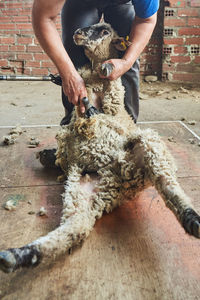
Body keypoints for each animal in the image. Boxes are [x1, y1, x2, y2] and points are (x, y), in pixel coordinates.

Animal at [0, 22, 200, 274]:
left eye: (105, 31)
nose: (78, 32)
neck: (94, 81)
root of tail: (123, 178)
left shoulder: (114, 102)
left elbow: (108, 93)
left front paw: (107, 70)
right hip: (86, 189)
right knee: (76, 227)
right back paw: (17, 256)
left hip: (149, 147)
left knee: (167, 184)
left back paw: (192, 220)